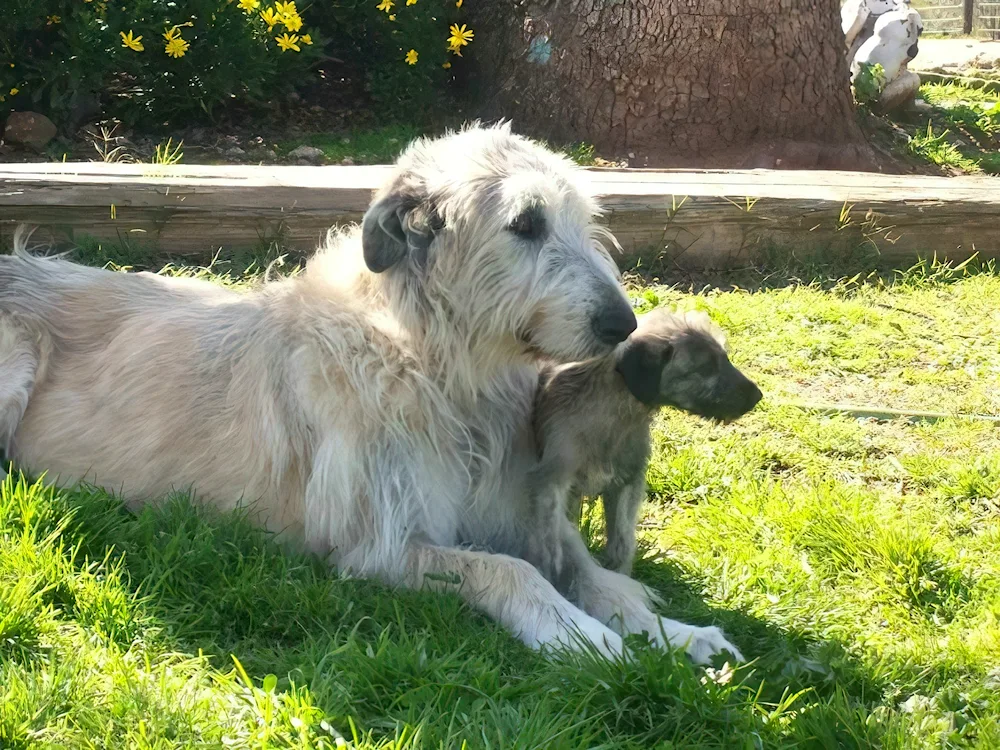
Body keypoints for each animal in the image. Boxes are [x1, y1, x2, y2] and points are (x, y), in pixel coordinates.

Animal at [524, 308, 756, 592]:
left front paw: (620, 576)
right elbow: (557, 543)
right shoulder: (554, 485)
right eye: (705, 368)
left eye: (724, 358)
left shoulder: (627, 482)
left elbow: (622, 543)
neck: (615, 413)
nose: (757, 395)